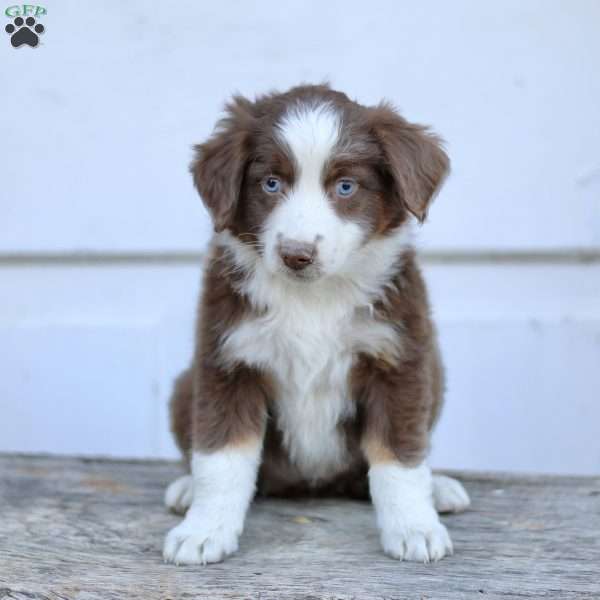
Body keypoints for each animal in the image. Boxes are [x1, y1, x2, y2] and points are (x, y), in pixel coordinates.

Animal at [163, 84, 468, 568]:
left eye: (345, 187)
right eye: (271, 183)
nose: (297, 254)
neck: (312, 299)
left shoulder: (399, 361)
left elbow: (399, 458)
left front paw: (415, 529)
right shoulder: (228, 360)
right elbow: (221, 458)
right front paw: (203, 530)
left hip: (434, 377)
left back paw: (438, 489)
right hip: (184, 386)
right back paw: (186, 487)